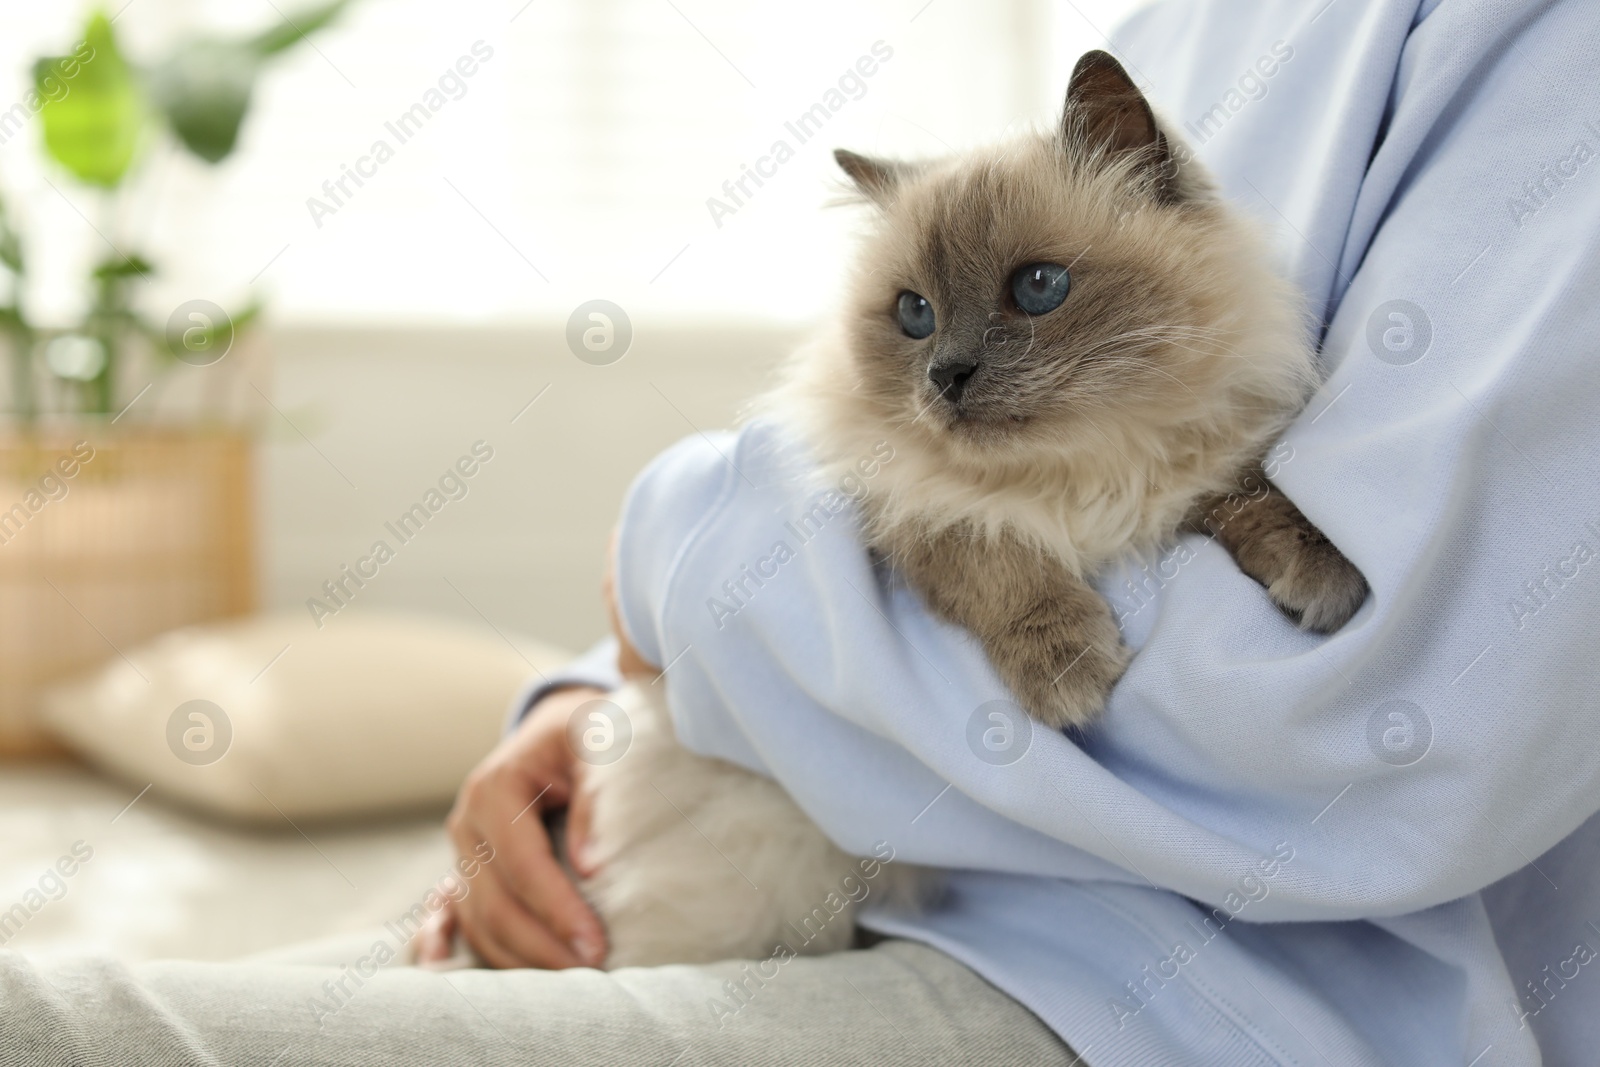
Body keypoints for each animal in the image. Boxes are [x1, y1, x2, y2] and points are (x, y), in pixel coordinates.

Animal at [572, 49, 1363, 966]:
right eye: (915, 313)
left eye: (1040, 288)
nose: (945, 374)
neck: (1078, 474)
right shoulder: (912, 511)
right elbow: (1002, 565)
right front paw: (1067, 672)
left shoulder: (1195, 475)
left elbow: (1253, 500)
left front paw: (1320, 576)